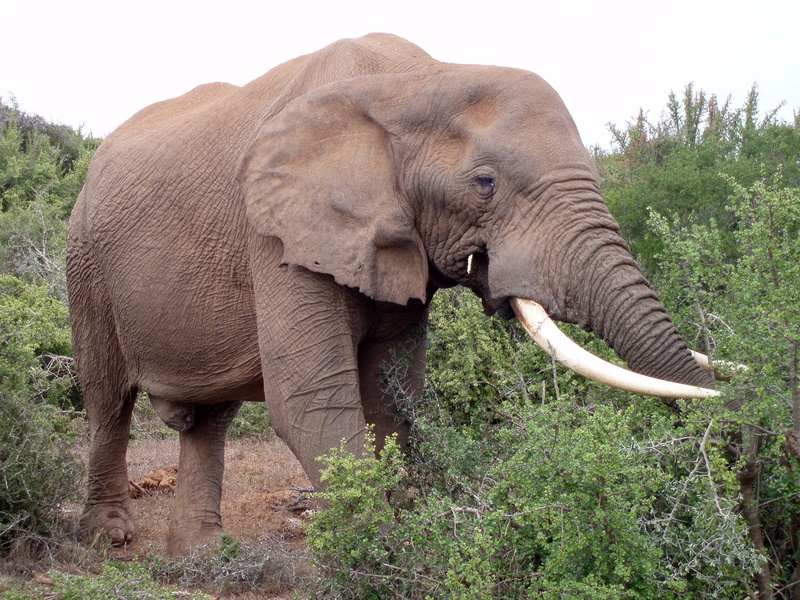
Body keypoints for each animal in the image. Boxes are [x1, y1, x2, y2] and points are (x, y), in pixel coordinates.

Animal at [67, 33, 718, 555]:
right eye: (485, 183)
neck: (414, 80)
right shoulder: (277, 231)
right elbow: (310, 399)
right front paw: (383, 555)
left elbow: (392, 396)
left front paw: (407, 535)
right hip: (85, 263)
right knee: (107, 399)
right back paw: (110, 538)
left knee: (210, 418)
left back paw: (200, 557)